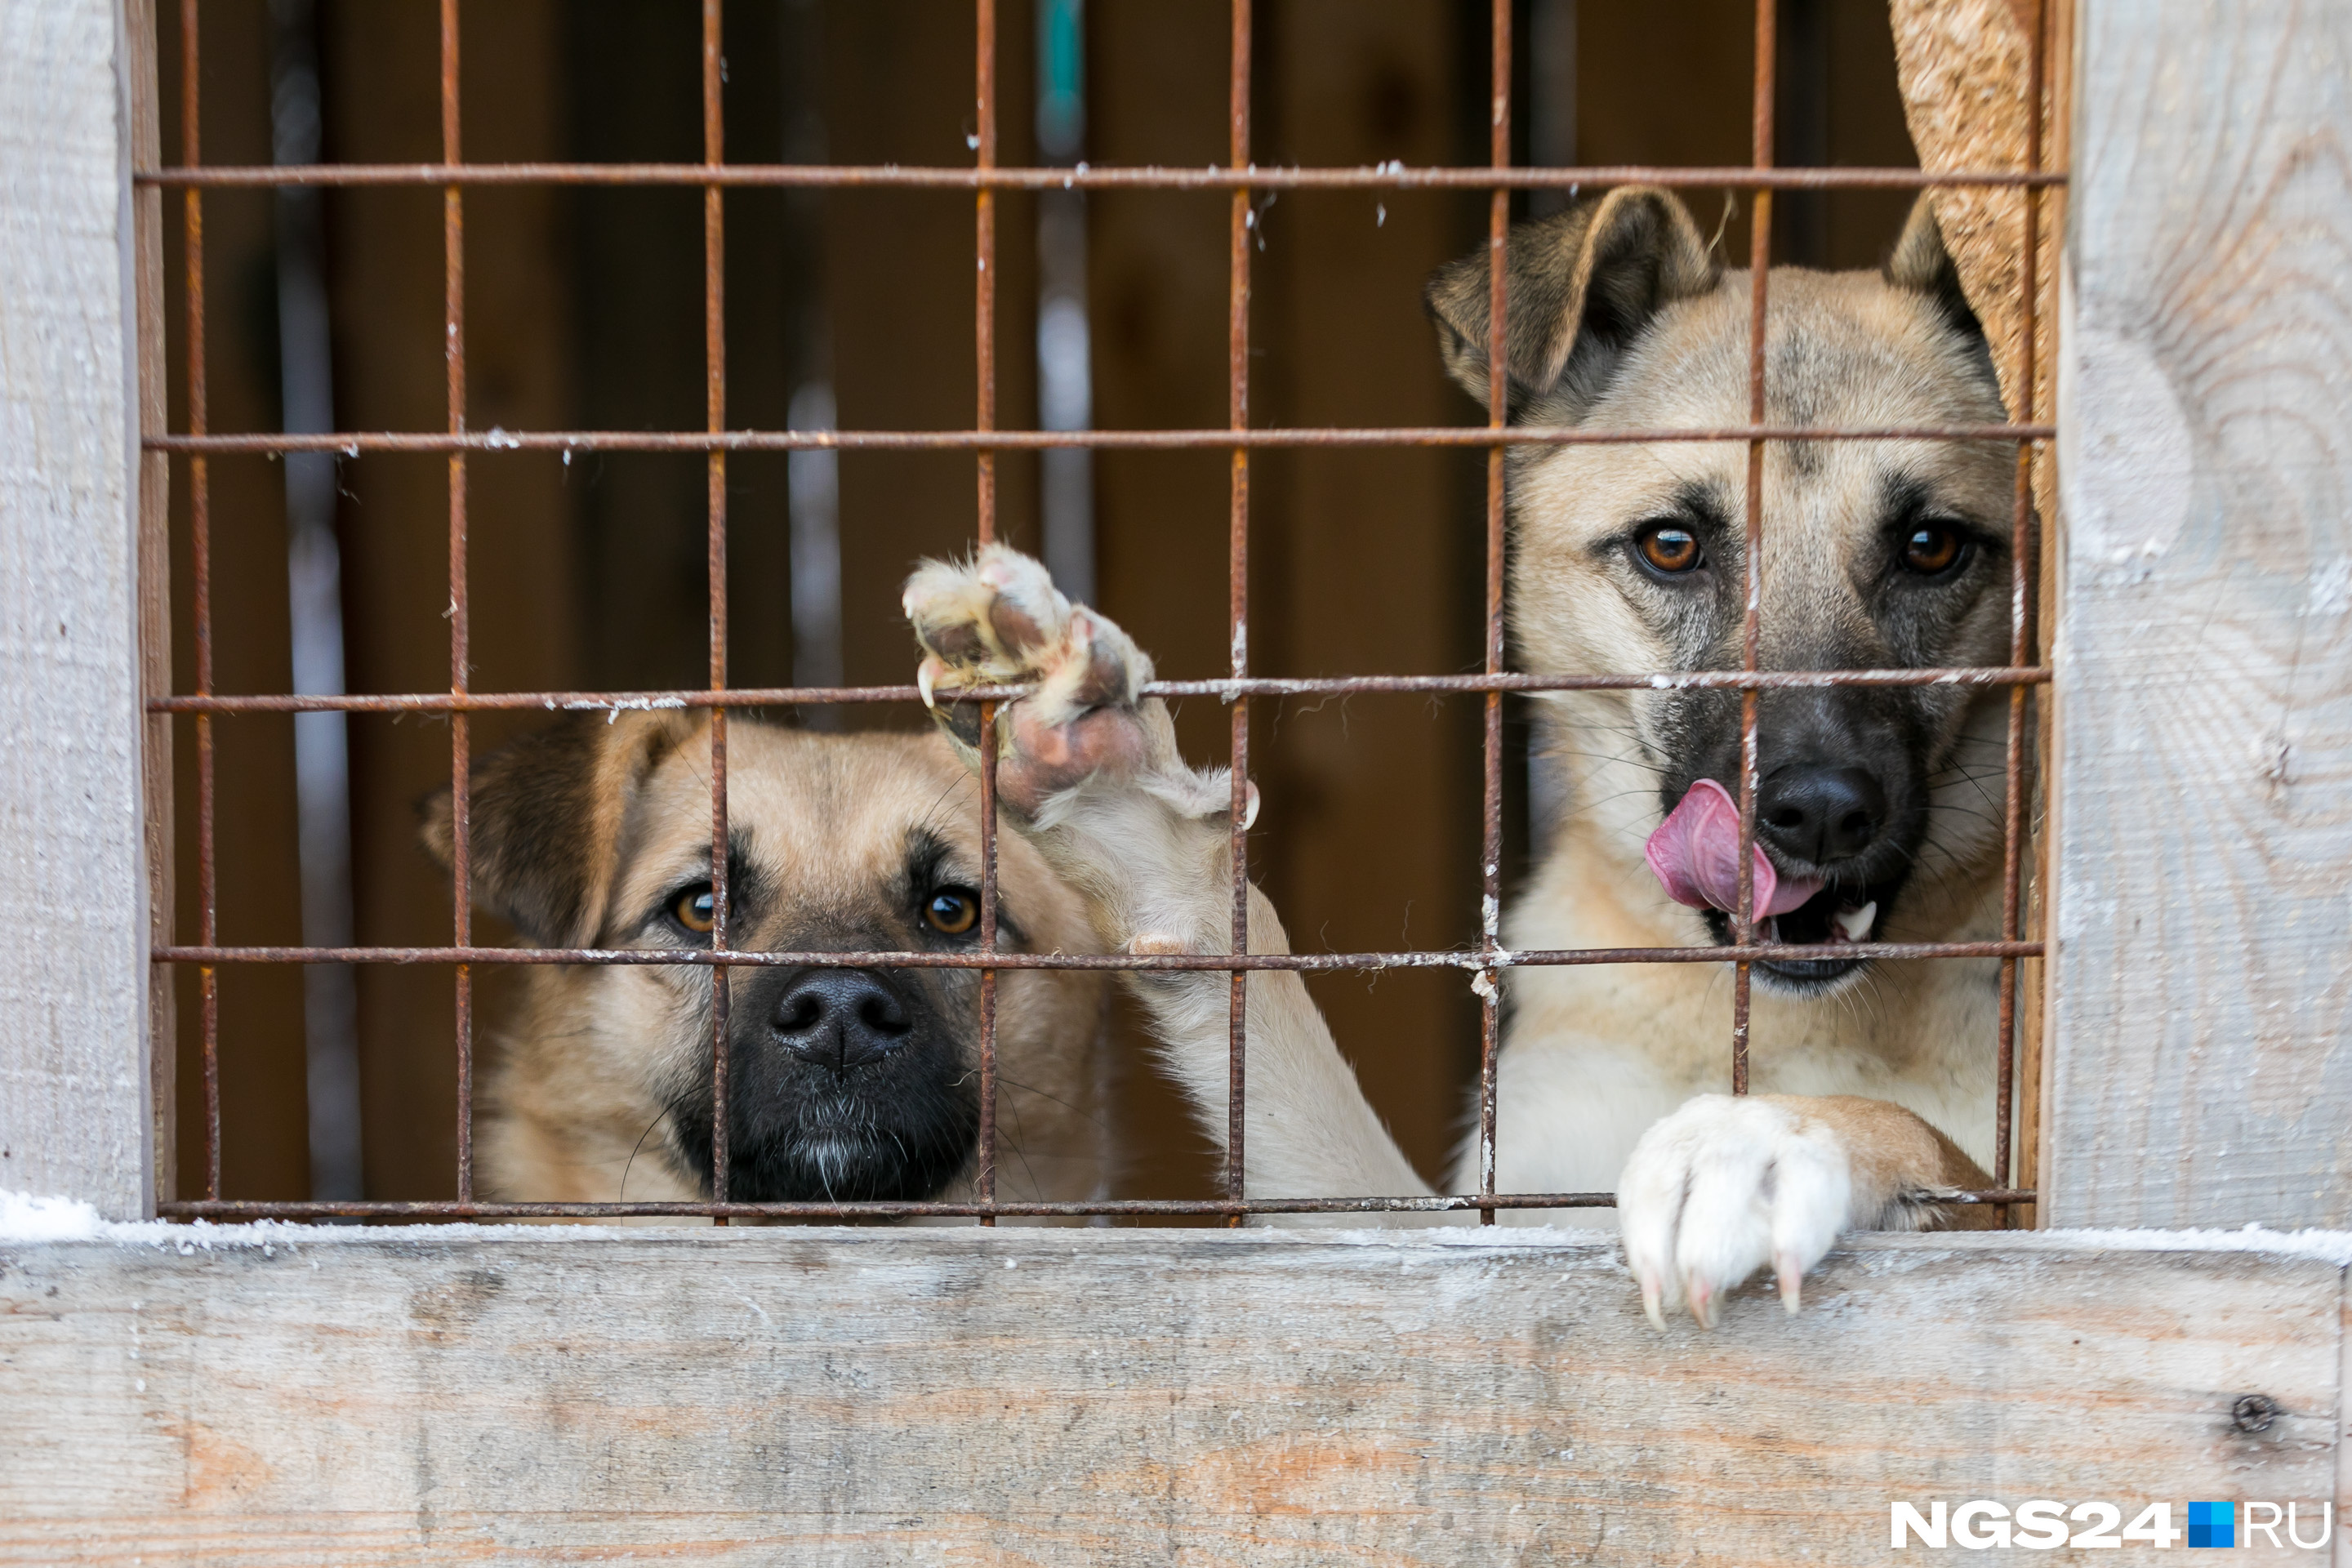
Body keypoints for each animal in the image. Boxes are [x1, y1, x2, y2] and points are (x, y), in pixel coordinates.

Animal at [907, 190, 2013, 1335]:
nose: (1823, 812)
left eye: (1933, 546)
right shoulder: (1458, 1247)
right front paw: (1109, 783)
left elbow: (1952, 1156)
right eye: (1672, 546)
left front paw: (1773, 1139)